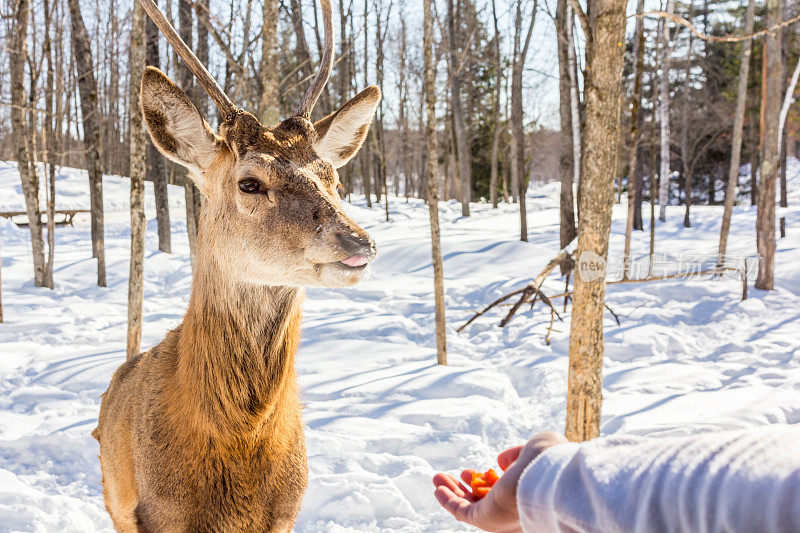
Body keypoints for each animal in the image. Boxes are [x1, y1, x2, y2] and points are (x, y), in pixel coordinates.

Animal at [94, 1, 382, 528]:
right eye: (250, 183)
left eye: (333, 178)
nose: (358, 242)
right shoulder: (152, 515)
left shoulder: (286, 513)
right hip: (112, 499)